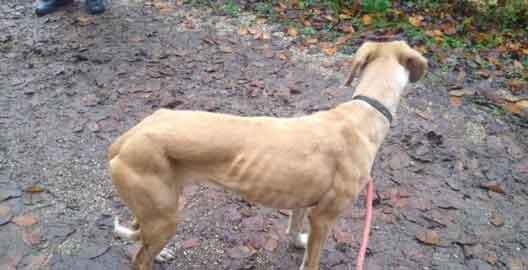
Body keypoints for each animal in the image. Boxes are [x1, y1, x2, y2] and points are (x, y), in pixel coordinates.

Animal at [109, 40, 426, 270]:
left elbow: (295, 230)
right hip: (165, 217)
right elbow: (312, 261)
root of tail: (126, 138)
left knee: (140, 239)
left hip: (159, 208)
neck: (364, 112)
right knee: (140, 260)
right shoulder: (324, 217)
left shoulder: (304, 203)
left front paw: (298, 242)